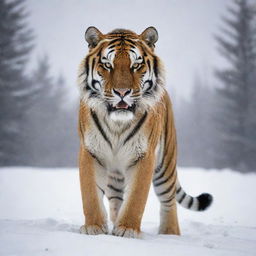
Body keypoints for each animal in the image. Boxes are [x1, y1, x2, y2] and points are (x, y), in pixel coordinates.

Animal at [77, 26, 213, 238]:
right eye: (107, 65)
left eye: (136, 65)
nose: (122, 92)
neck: (117, 124)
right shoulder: (90, 151)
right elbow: (90, 194)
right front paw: (95, 228)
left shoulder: (144, 155)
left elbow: (136, 198)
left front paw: (127, 230)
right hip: (115, 175)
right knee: (116, 199)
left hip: (165, 165)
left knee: (169, 200)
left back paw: (169, 233)